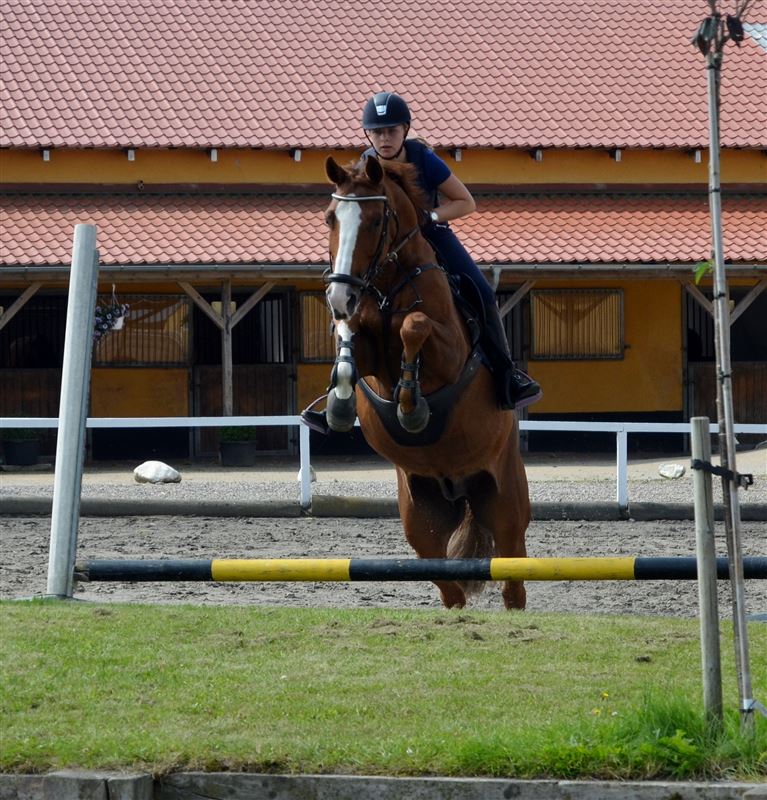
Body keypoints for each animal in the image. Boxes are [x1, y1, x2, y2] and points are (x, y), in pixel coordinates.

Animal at [320, 154, 530, 609]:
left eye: (375, 220)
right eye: (330, 217)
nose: (340, 296)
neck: (386, 287)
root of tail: (457, 486)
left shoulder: (450, 350)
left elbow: (413, 325)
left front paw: (411, 407)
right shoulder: (366, 350)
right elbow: (348, 340)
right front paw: (340, 407)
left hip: (505, 501)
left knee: (513, 577)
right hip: (420, 516)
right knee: (448, 584)